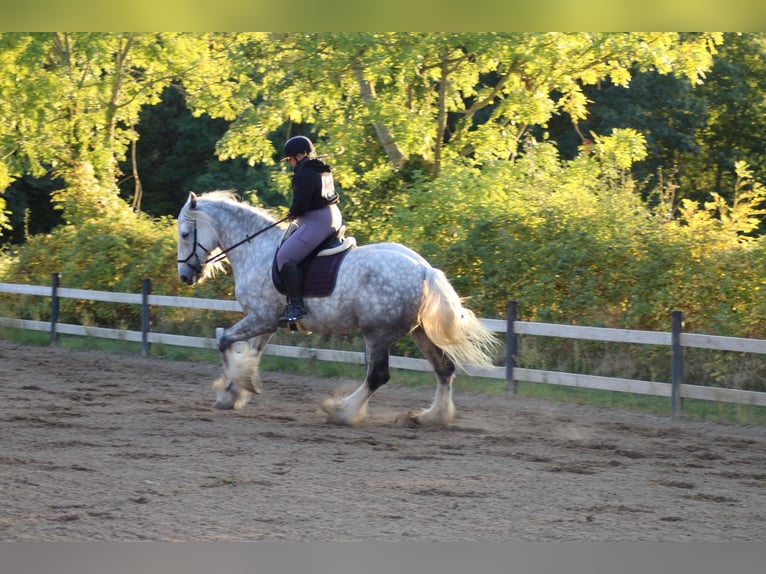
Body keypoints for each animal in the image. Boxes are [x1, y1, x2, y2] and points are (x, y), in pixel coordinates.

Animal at [176, 192, 498, 428]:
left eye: (184, 234)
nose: (185, 276)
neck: (257, 249)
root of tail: (424, 270)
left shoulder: (261, 318)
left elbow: (225, 341)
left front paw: (240, 385)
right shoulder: (267, 321)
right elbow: (250, 353)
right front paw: (233, 392)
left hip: (377, 333)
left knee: (378, 376)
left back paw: (341, 411)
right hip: (416, 331)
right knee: (443, 369)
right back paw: (431, 417)